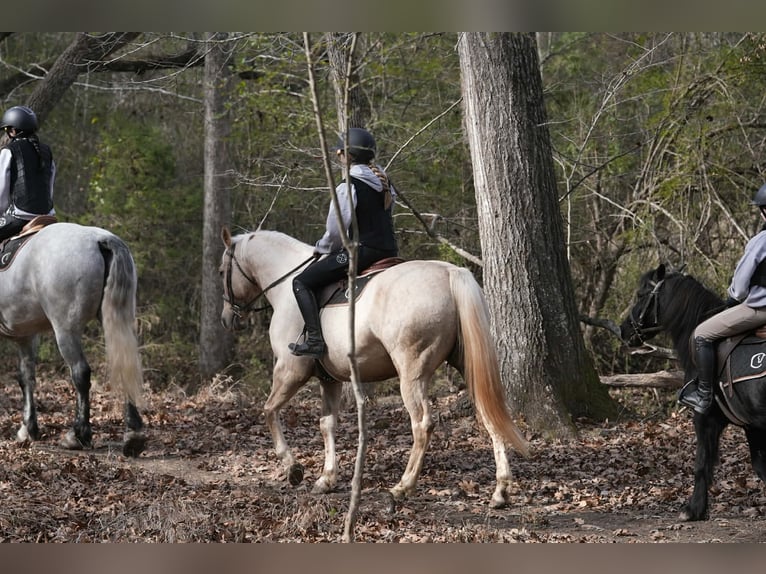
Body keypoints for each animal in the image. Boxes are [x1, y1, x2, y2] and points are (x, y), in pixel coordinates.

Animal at [0, 221, 146, 457]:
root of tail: (101, 239)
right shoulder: (26, 335)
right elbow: (26, 377)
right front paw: (28, 429)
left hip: (65, 329)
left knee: (80, 373)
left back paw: (77, 435)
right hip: (117, 318)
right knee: (125, 364)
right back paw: (133, 435)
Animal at [220, 227, 529, 508]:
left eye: (223, 269)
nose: (226, 319)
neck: (286, 288)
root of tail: (449, 272)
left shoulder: (290, 371)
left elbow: (269, 410)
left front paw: (292, 468)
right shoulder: (330, 380)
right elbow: (326, 424)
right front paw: (326, 478)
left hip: (411, 375)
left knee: (422, 425)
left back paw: (402, 487)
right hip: (468, 368)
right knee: (489, 415)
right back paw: (500, 491)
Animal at [619, 263, 766, 520]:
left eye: (640, 295)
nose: (623, 330)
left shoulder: (704, 418)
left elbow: (701, 464)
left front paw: (693, 509)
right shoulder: (751, 425)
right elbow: (760, 467)